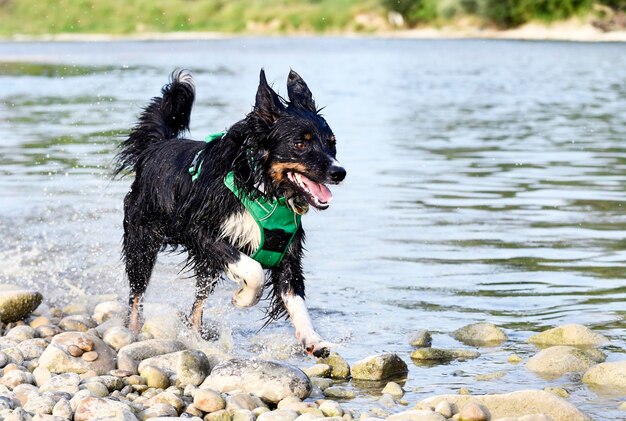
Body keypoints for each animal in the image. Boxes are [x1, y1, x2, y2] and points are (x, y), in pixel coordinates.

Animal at [113, 69, 346, 358]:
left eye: (332, 143)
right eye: (300, 144)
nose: (339, 172)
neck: (261, 188)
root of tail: (156, 146)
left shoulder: (287, 250)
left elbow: (295, 296)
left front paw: (313, 339)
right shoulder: (201, 232)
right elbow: (253, 271)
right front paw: (243, 298)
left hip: (203, 266)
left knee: (197, 305)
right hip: (142, 241)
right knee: (137, 294)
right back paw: (134, 332)